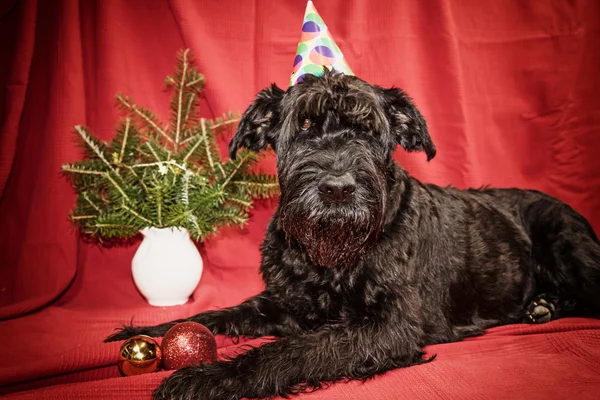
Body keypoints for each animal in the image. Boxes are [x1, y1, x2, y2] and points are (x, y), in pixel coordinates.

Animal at [104, 70, 600, 398]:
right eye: (304, 126)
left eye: (368, 131)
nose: (338, 188)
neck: (331, 258)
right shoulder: (281, 302)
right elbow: (215, 316)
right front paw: (147, 331)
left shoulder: (390, 326)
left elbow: (299, 349)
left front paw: (210, 377)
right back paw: (541, 306)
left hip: (566, 244)